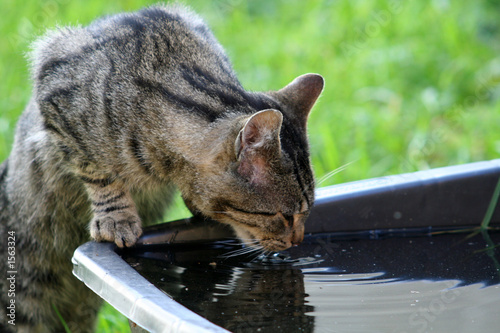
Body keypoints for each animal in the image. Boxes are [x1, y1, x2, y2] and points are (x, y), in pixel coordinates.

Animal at [0, 3, 324, 332]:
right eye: (283, 216)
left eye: (307, 212)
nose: (298, 240)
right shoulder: (56, 86)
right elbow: (98, 170)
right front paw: (117, 218)